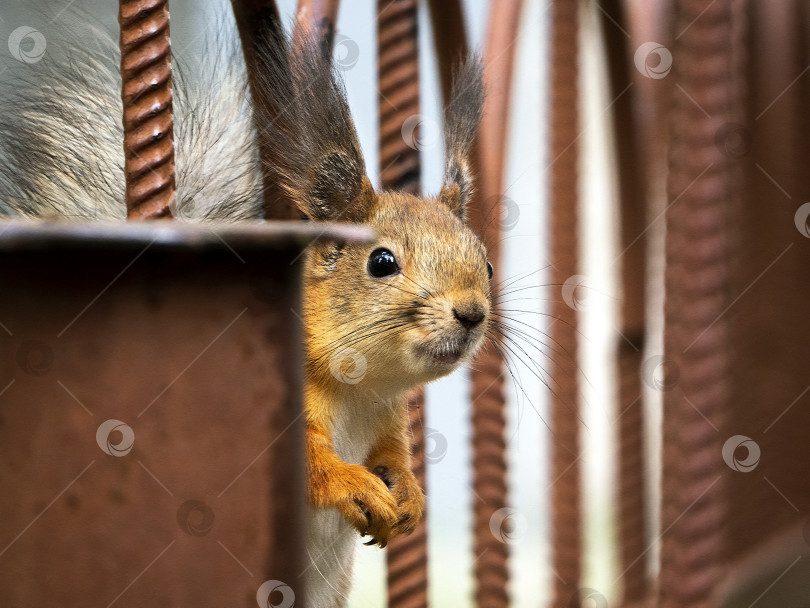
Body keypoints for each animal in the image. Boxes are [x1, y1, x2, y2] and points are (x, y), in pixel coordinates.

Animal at [0, 5, 490, 608]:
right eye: (381, 262)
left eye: (487, 264)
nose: (472, 314)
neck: (359, 390)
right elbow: (307, 467)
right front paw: (354, 485)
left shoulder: (388, 419)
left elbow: (395, 457)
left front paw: (411, 497)